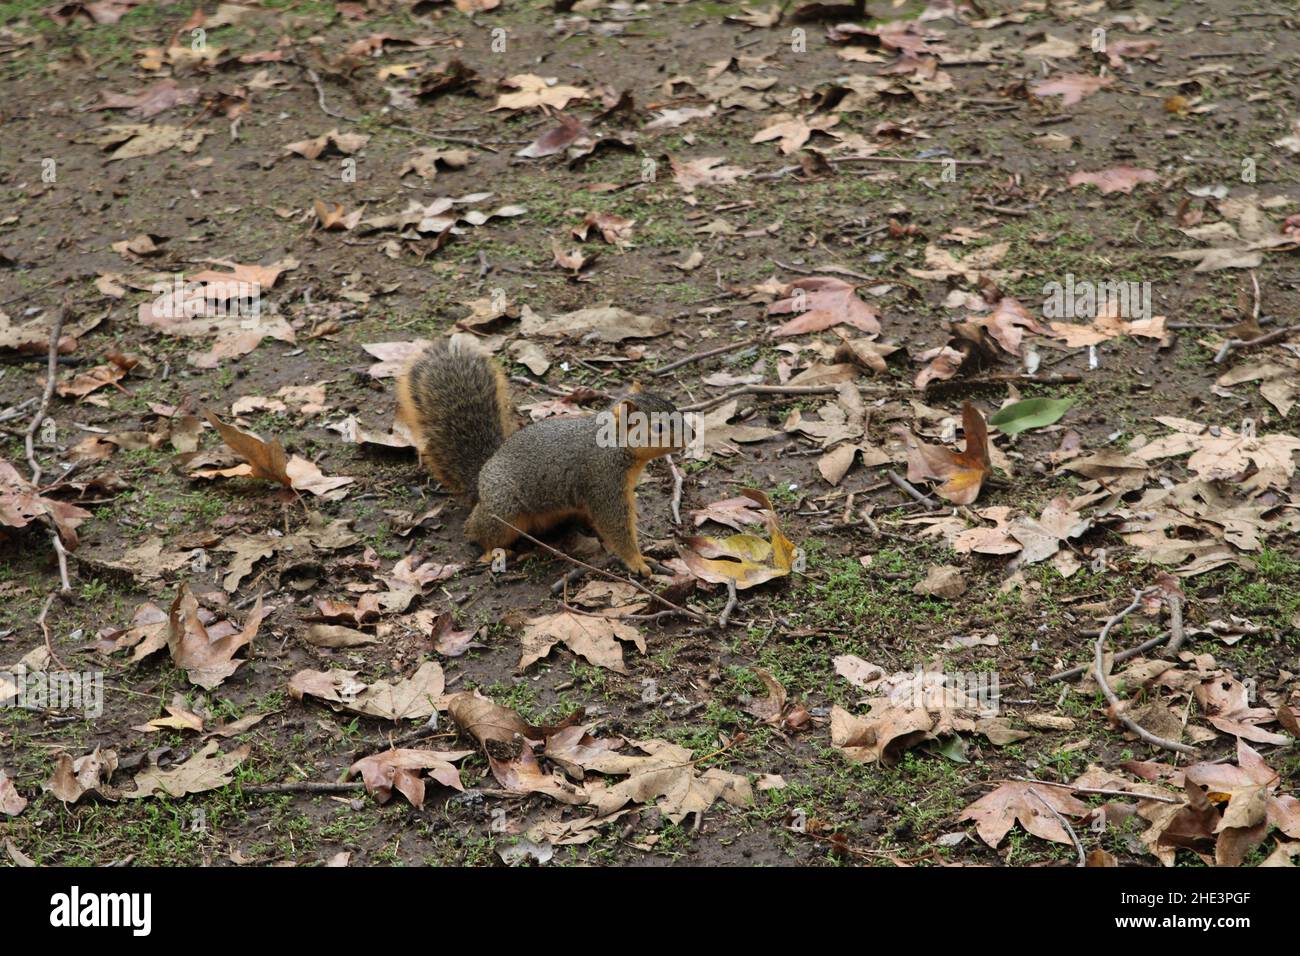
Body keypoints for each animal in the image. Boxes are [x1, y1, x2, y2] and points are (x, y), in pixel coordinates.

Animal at [395, 335, 686, 574]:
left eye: (673, 406)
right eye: (658, 428)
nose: (691, 434)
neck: (615, 447)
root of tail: (480, 481)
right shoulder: (603, 482)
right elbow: (616, 526)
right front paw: (638, 562)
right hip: (504, 510)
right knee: (477, 531)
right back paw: (491, 551)